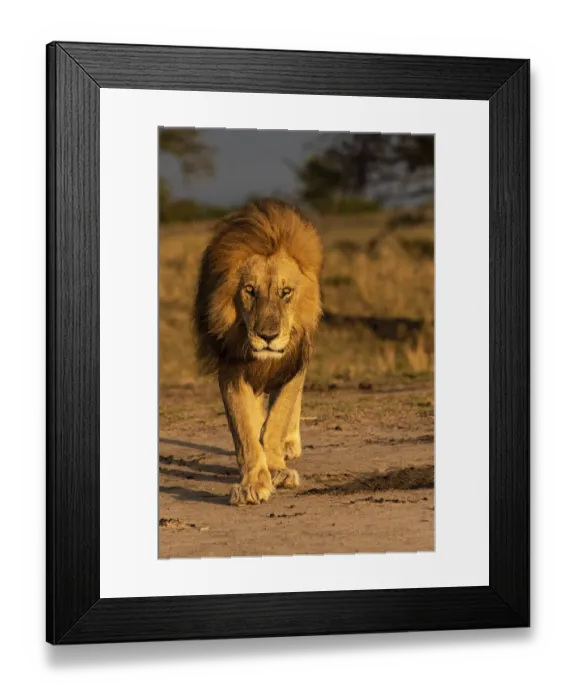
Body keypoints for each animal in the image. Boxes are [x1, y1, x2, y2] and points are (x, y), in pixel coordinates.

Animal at [193, 198, 323, 506]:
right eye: (250, 291)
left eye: (286, 292)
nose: (268, 337)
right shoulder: (231, 369)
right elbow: (245, 429)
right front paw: (253, 483)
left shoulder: (293, 364)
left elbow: (278, 417)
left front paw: (277, 469)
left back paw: (290, 444)